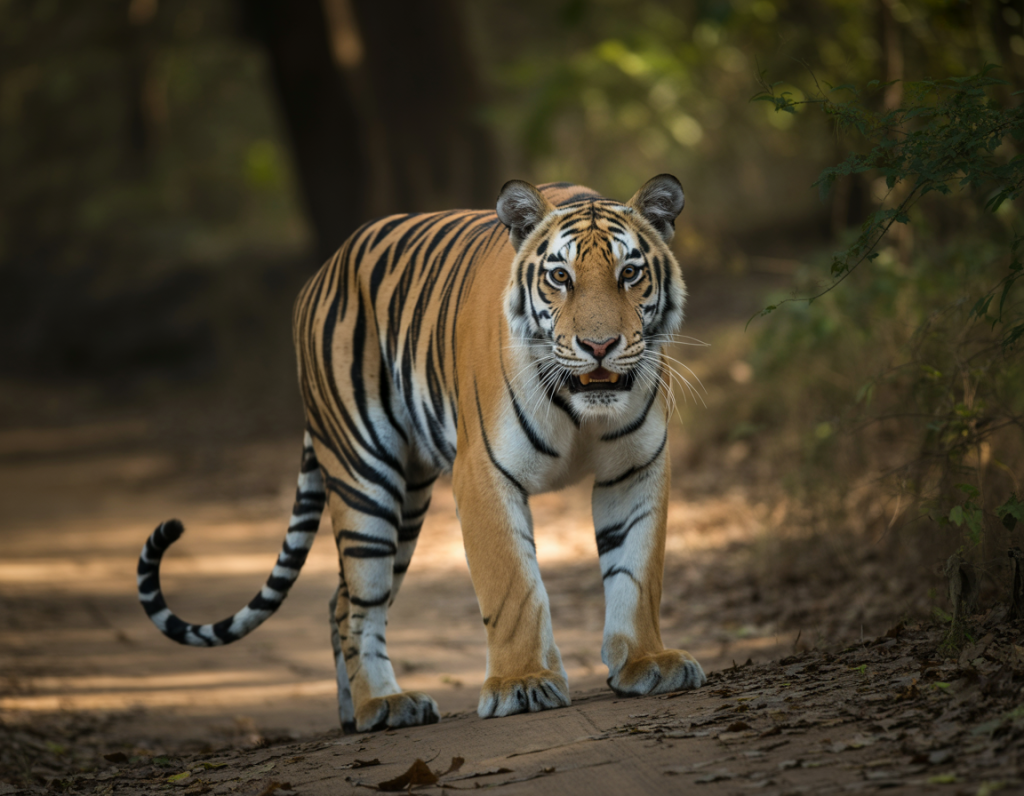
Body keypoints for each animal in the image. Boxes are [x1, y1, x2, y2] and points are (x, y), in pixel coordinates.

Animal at [137, 174, 707, 733]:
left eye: (629, 273)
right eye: (560, 277)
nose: (599, 346)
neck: (580, 406)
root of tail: (322, 273)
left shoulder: (635, 467)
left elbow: (636, 570)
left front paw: (647, 663)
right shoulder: (483, 473)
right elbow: (512, 584)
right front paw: (522, 683)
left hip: (408, 498)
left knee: (338, 599)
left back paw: (354, 715)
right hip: (366, 478)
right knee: (357, 606)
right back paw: (382, 704)